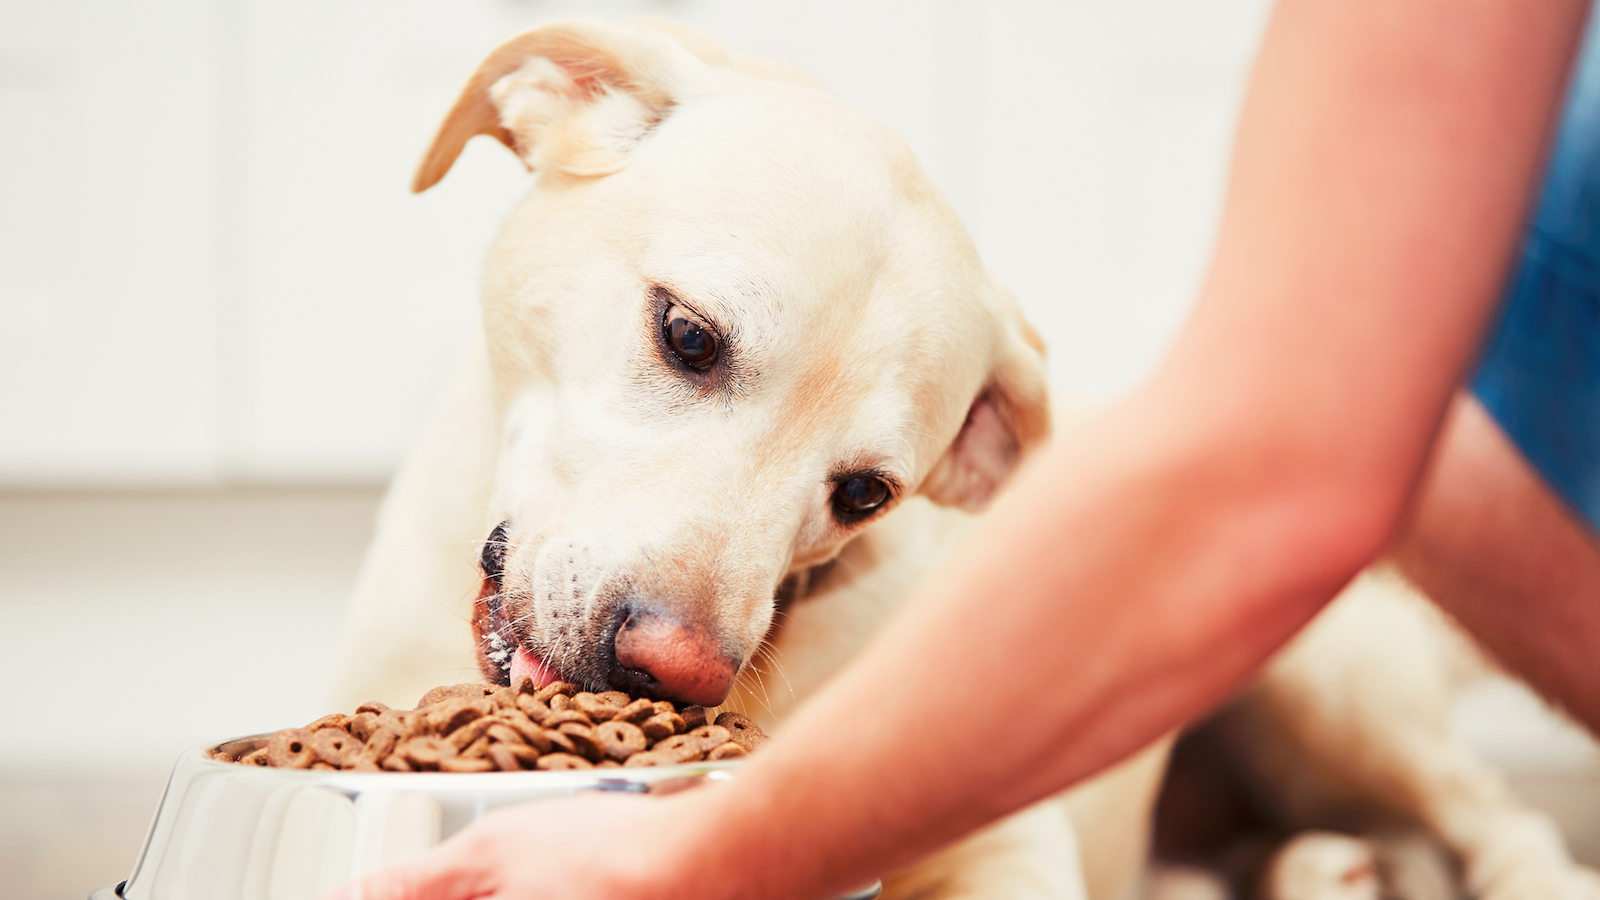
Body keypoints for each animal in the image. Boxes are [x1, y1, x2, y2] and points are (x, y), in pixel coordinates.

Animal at [328, 19, 1600, 896]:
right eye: (687, 334)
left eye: (864, 493)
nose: (675, 673)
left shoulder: (1006, 839)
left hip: (1323, 687)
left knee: (1495, 818)